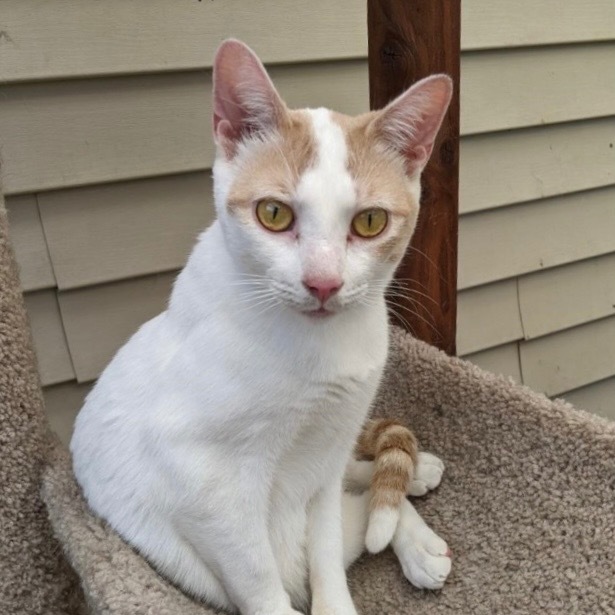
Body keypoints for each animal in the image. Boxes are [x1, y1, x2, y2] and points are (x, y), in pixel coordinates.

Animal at [72, 39, 454, 615]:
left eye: (369, 222)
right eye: (273, 214)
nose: (323, 283)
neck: (319, 352)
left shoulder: (325, 458)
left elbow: (326, 557)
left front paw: (337, 603)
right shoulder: (206, 485)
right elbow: (257, 579)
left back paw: (416, 499)